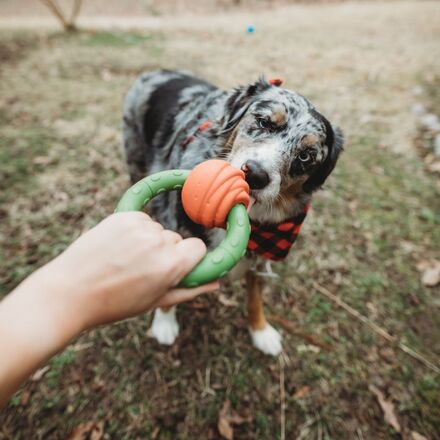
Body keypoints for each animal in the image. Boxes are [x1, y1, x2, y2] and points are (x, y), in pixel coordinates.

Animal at [121, 69, 344, 358]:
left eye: (306, 156)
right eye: (263, 122)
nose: (256, 174)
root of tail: (156, 71)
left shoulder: (261, 259)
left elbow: (255, 299)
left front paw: (261, 331)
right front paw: (165, 322)